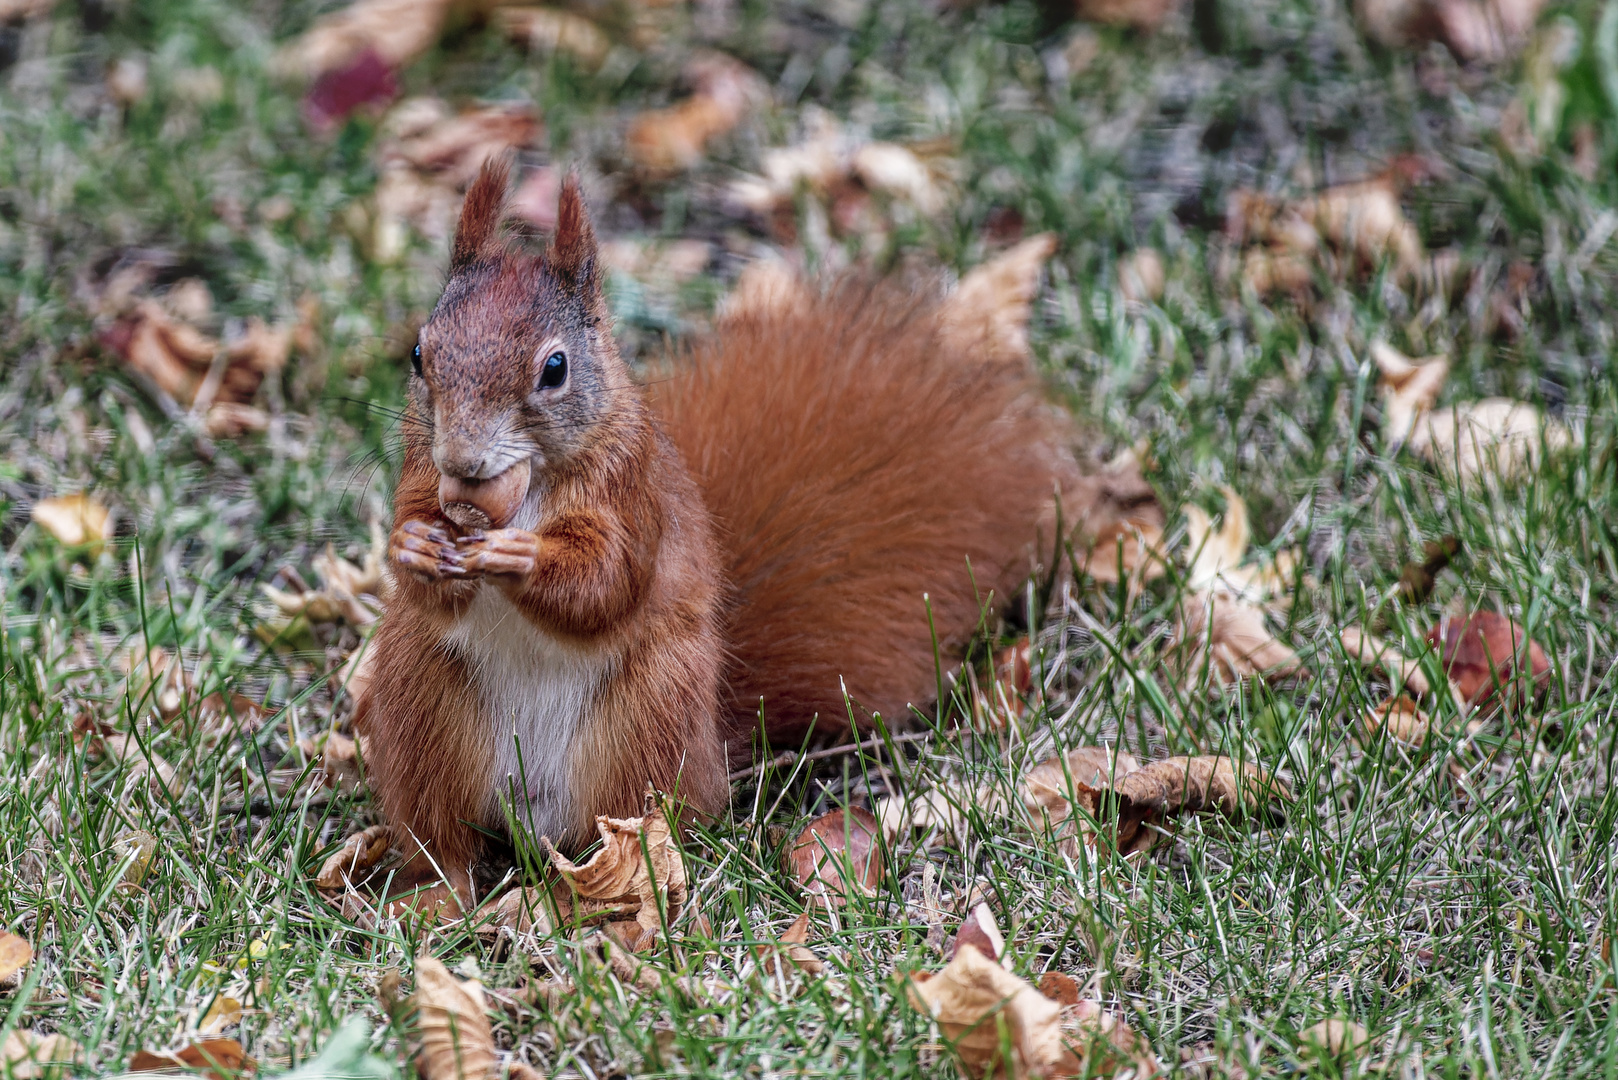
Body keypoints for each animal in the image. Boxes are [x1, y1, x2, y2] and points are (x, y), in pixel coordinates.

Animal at [355, 160, 1087, 906]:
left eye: (554, 369)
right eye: (418, 354)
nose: (463, 460)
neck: (526, 487)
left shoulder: (632, 491)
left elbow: (608, 582)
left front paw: (520, 555)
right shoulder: (420, 473)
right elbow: (423, 559)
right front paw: (412, 546)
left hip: (646, 725)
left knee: (623, 835)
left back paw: (599, 894)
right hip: (419, 710)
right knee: (441, 837)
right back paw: (436, 899)